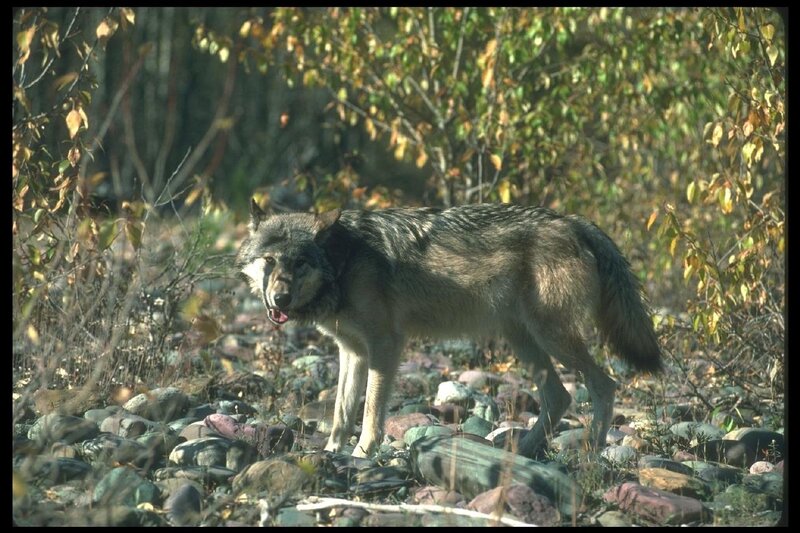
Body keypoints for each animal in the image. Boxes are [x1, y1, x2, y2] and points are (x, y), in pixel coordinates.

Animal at [236, 201, 661, 459]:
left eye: (300, 263)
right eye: (269, 261)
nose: (280, 299)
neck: (343, 262)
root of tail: (573, 220)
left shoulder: (385, 345)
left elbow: (371, 412)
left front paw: (362, 454)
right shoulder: (352, 351)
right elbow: (342, 412)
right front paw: (331, 453)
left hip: (552, 339)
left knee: (603, 385)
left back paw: (592, 451)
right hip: (524, 340)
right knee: (560, 397)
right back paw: (522, 452)